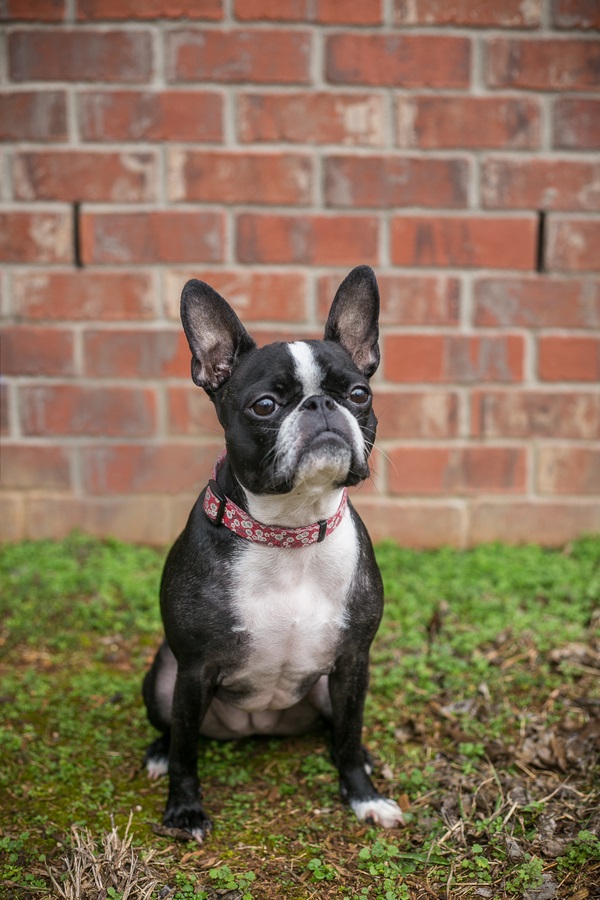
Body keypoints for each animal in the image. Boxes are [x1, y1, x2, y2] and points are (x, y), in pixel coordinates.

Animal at [142, 264, 404, 840]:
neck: (290, 532)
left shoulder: (354, 661)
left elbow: (349, 735)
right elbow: (187, 753)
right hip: (163, 676)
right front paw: (184, 809)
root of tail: (259, 724)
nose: (322, 404)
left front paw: (363, 796)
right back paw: (157, 753)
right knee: (176, 734)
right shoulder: (193, 671)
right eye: (265, 405)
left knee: (339, 731)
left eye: (358, 394)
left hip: (329, 688)